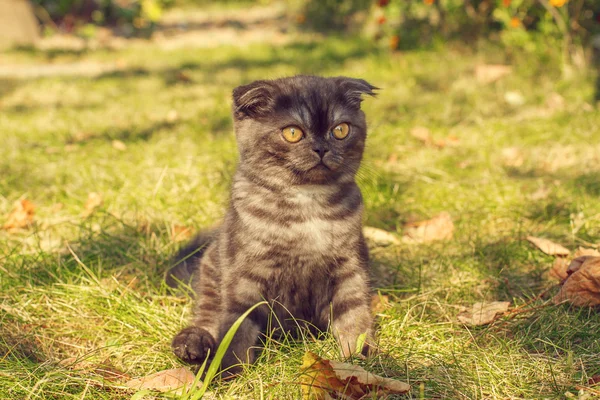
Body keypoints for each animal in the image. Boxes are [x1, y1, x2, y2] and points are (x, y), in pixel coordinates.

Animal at [166, 75, 378, 376]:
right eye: (292, 133)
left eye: (340, 130)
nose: (322, 148)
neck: (307, 205)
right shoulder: (246, 275)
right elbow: (236, 323)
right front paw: (229, 370)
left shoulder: (349, 265)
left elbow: (354, 312)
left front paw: (361, 359)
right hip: (211, 267)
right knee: (207, 315)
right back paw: (192, 343)